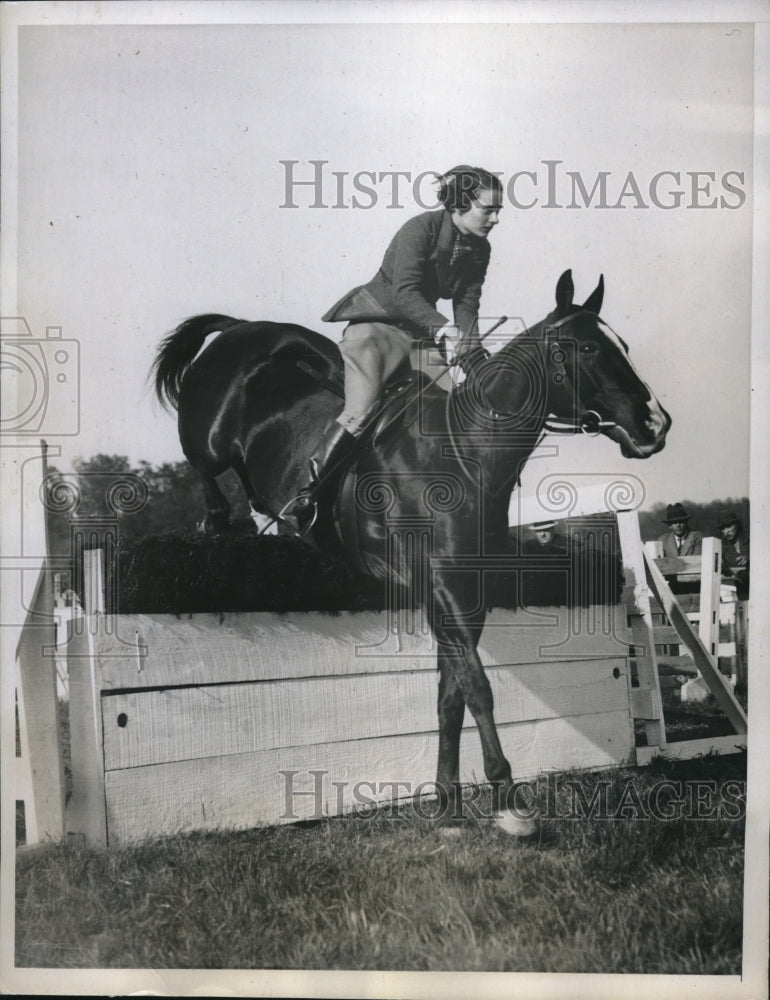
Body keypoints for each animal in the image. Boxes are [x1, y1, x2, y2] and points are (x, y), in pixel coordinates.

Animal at [153, 272, 668, 836]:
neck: (465, 458)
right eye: (589, 348)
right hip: (208, 438)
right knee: (207, 470)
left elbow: (451, 697)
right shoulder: (441, 587)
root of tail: (242, 327)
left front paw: (447, 807)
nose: (655, 425)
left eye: (622, 345)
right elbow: (479, 688)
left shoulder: (466, 596)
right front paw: (508, 802)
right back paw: (224, 520)